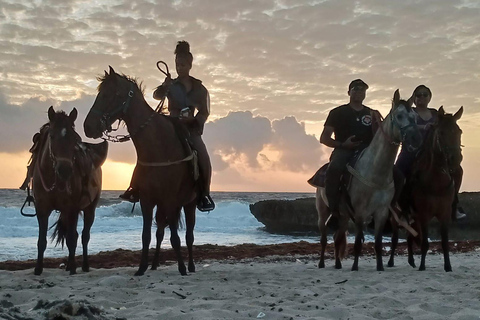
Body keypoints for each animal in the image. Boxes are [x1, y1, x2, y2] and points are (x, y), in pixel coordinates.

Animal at [31, 107, 107, 276]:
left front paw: (72, 267)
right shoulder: (42, 210)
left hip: (89, 209)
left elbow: (72, 239)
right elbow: (41, 241)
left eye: (74, 138)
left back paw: (83, 265)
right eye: (52, 136)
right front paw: (38, 268)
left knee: (84, 236)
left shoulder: (72, 208)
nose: (65, 170)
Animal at [83, 66, 198, 276]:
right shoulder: (147, 200)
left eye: (109, 94)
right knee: (160, 231)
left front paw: (181, 268)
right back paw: (154, 264)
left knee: (189, 235)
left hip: (189, 203)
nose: (88, 126)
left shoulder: (170, 200)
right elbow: (146, 235)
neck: (158, 148)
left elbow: (176, 237)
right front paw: (142, 267)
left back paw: (191, 266)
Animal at [388, 106, 464, 272]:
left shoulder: (444, 215)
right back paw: (390, 262)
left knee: (409, 237)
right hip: (397, 216)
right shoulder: (424, 215)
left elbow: (444, 242)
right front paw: (422, 266)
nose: (455, 158)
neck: (436, 182)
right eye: (441, 133)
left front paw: (448, 267)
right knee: (395, 238)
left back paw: (411, 261)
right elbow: (424, 243)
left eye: (459, 131)